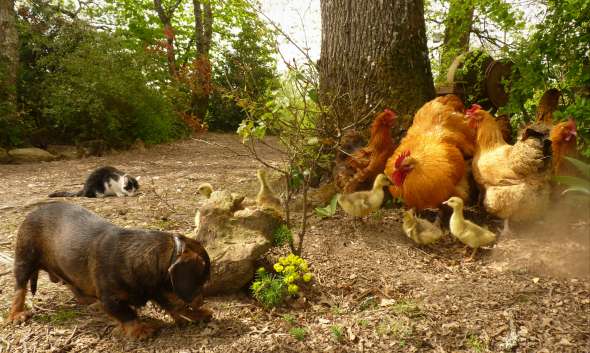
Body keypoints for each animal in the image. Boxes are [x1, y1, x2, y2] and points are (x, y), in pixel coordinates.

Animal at [6, 201, 213, 338]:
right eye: (201, 280)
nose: (202, 300)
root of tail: (34, 211)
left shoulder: (157, 288)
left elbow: (173, 304)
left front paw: (193, 314)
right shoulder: (111, 299)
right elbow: (128, 314)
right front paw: (141, 329)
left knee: (76, 289)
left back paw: (91, 302)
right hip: (25, 260)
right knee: (19, 289)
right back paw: (16, 314)